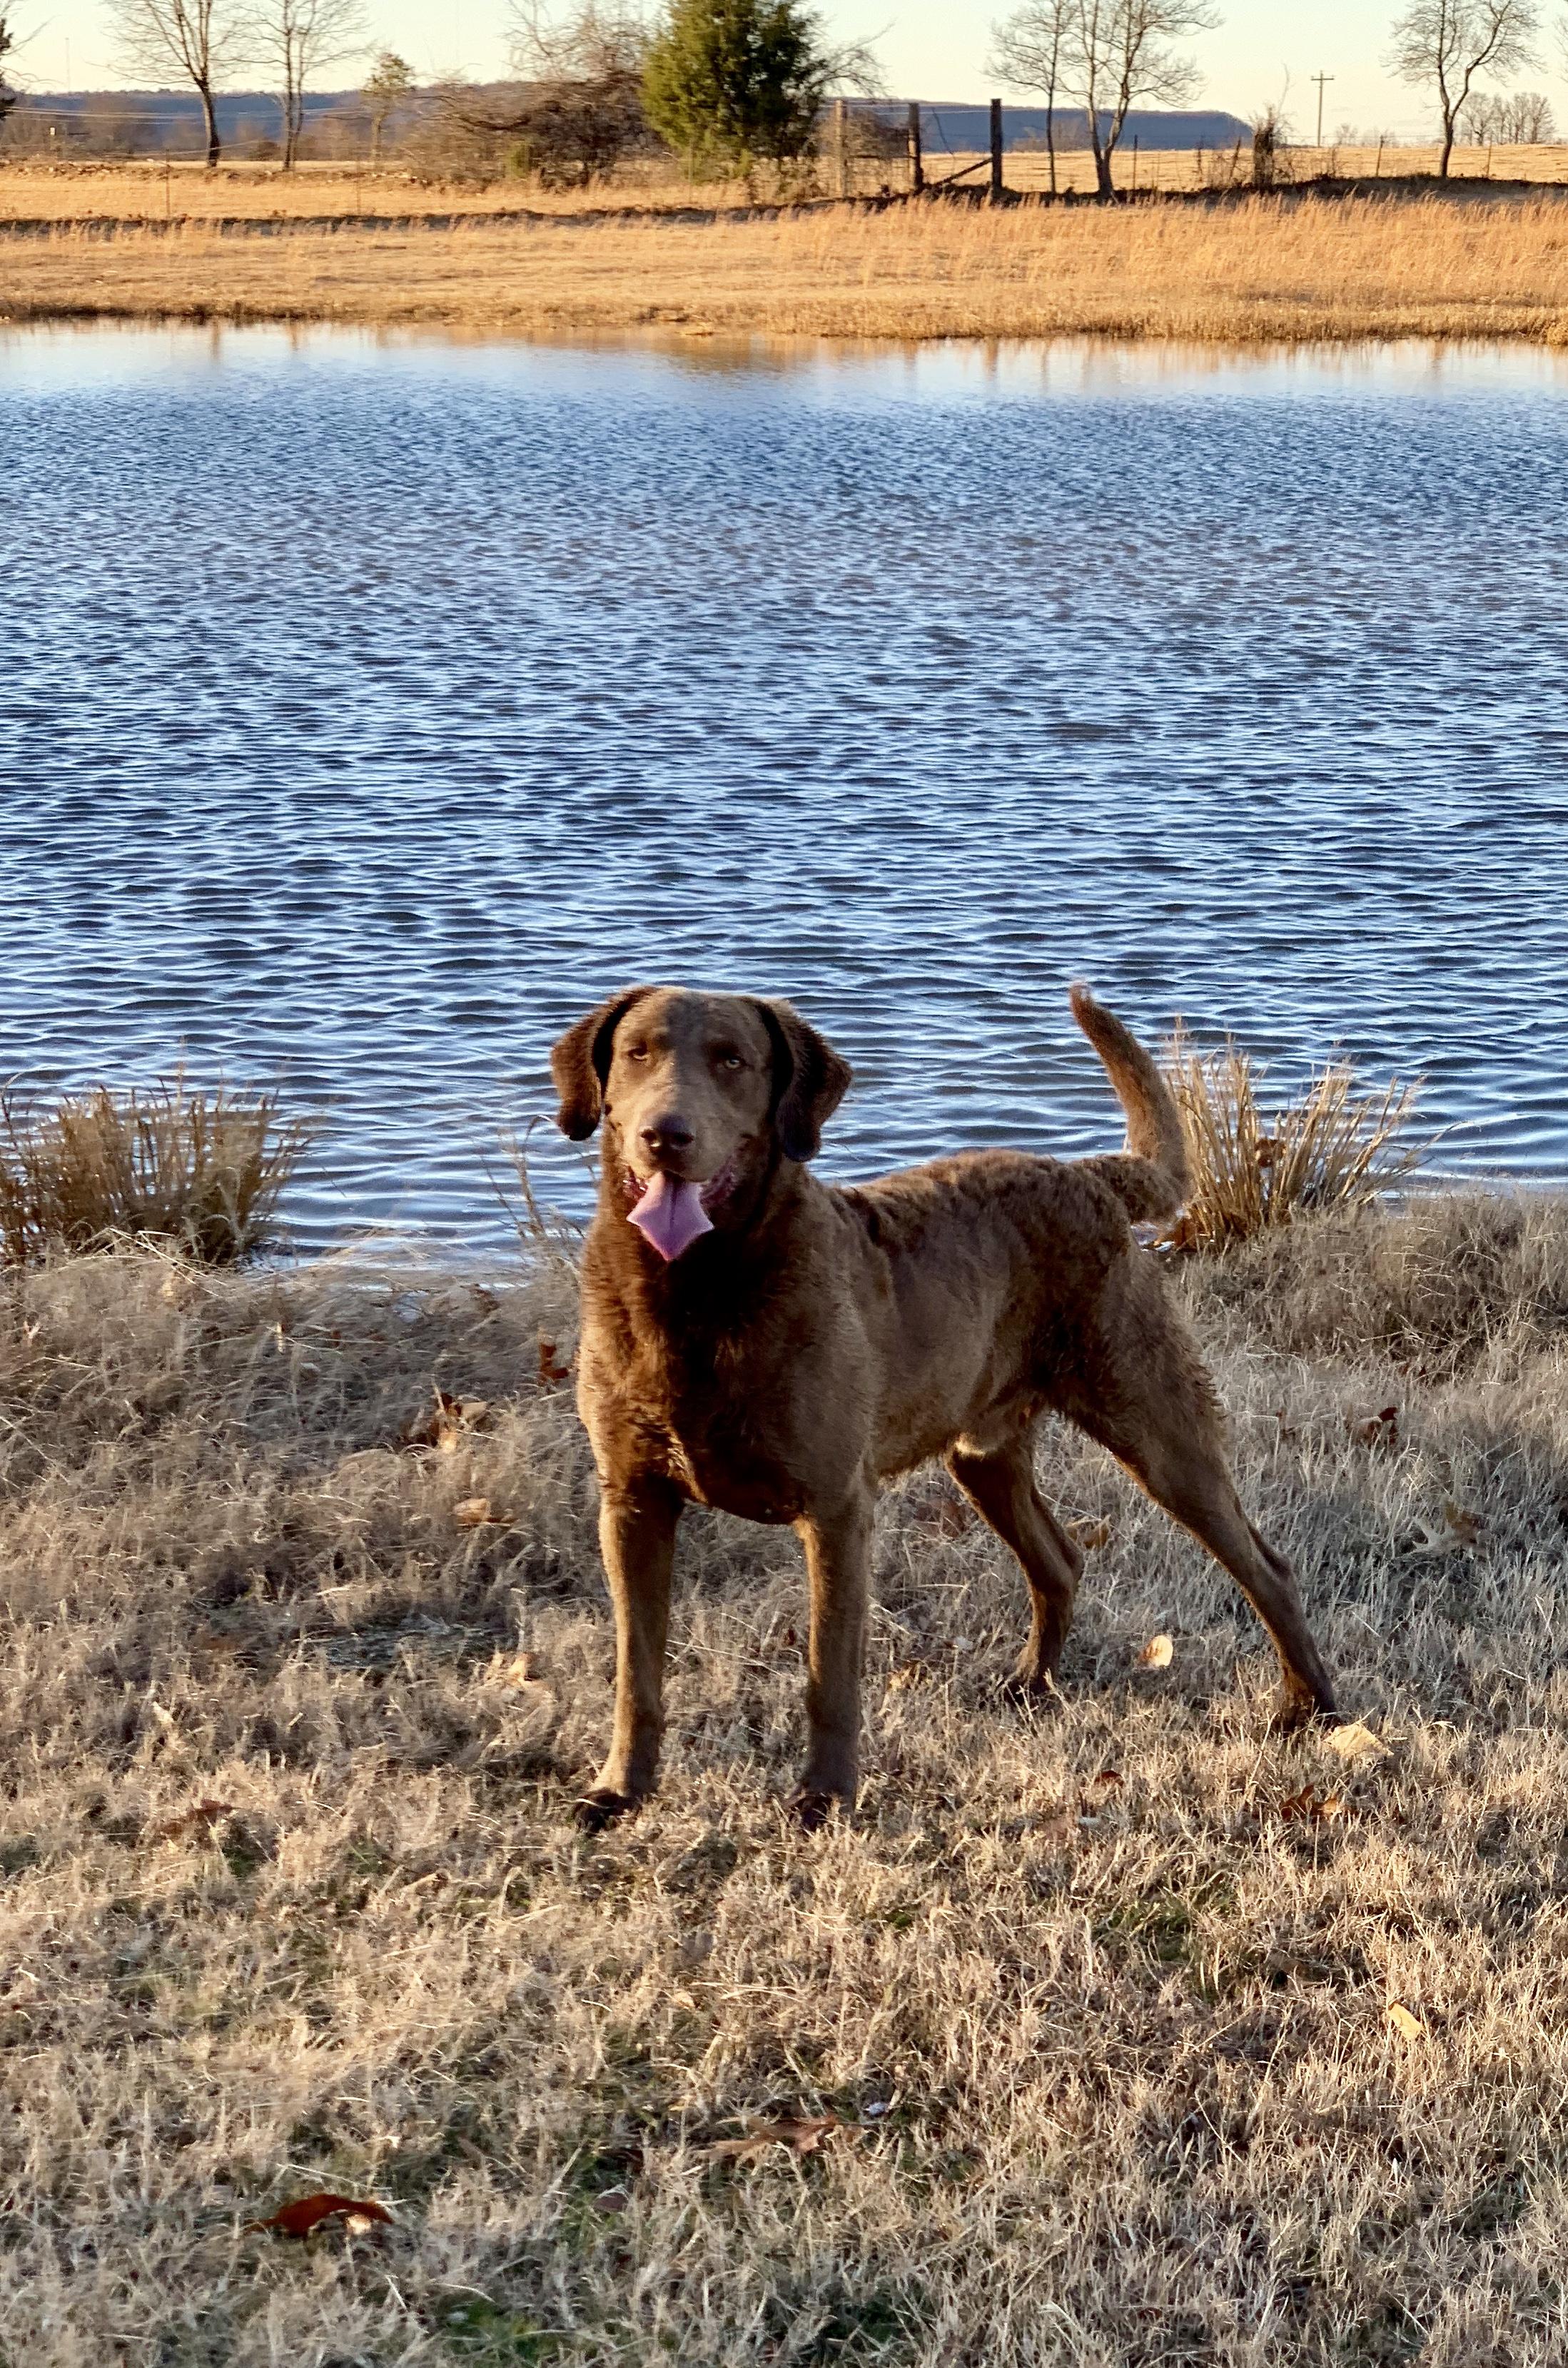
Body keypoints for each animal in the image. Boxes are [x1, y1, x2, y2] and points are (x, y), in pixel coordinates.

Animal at [551, 984, 1336, 1828]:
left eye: (732, 1060)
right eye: (637, 1052)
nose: (664, 1134)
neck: (696, 1293)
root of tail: (1088, 1173)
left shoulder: (835, 1507)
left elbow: (829, 1671)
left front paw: (824, 1798)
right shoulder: (631, 1501)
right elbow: (637, 1670)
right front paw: (619, 1790)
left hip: (1156, 1422)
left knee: (1264, 1566)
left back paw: (1311, 1710)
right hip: (983, 1453)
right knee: (1058, 1562)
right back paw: (1029, 1685)